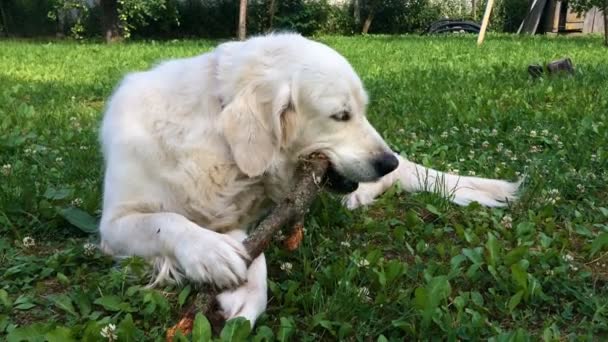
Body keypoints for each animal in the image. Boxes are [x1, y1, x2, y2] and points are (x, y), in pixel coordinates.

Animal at [98, 32, 516, 326]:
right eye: (341, 115)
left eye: (362, 110)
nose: (388, 161)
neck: (218, 145)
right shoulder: (113, 224)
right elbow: (166, 221)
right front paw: (209, 253)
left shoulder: (237, 217)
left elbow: (256, 258)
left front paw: (245, 298)